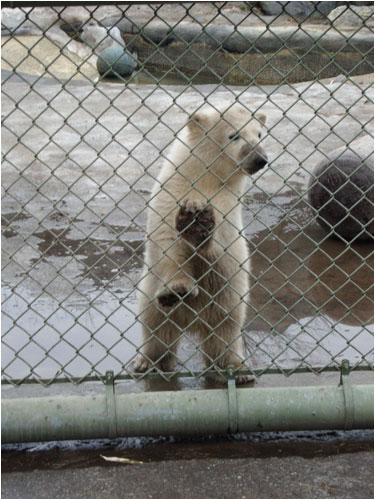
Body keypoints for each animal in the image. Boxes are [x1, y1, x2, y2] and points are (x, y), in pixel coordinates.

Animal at [134, 102, 268, 382]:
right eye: (234, 135)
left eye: (259, 134)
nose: (260, 159)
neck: (203, 178)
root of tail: (194, 323)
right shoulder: (170, 192)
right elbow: (167, 244)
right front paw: (177, 289)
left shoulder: (227, 205)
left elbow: (218, 243)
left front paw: (198, 227)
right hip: (149, 293)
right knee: (157, 326)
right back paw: (149, 362)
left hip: (229, 298)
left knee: (225, 333)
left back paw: (237, 370)